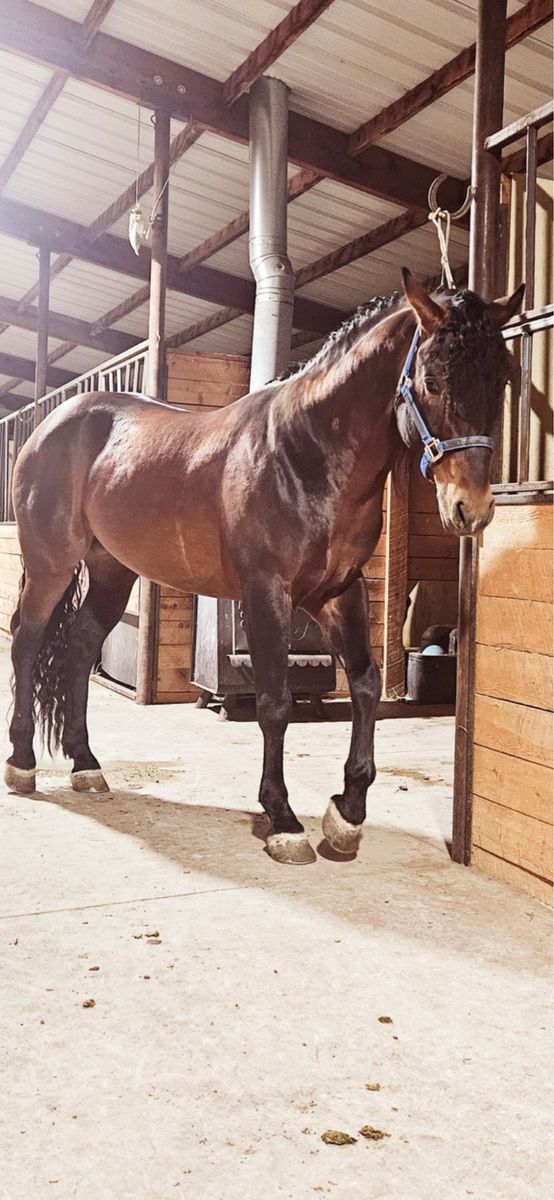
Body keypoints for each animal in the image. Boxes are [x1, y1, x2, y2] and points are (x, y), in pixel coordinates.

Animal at [5, 269, 523, 864]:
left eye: (502, 380)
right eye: (433, 381)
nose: (471, 508)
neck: (306, 452)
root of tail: (54, 420)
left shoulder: (339, 592)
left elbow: (366, 685)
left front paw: (347, 815)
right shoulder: (266, 593)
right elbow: (275, 701)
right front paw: (283, 820)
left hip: (112, 568)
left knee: (81, 644)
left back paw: (86, 765)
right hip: (52, 563)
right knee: (27, 639)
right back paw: (21, 764)